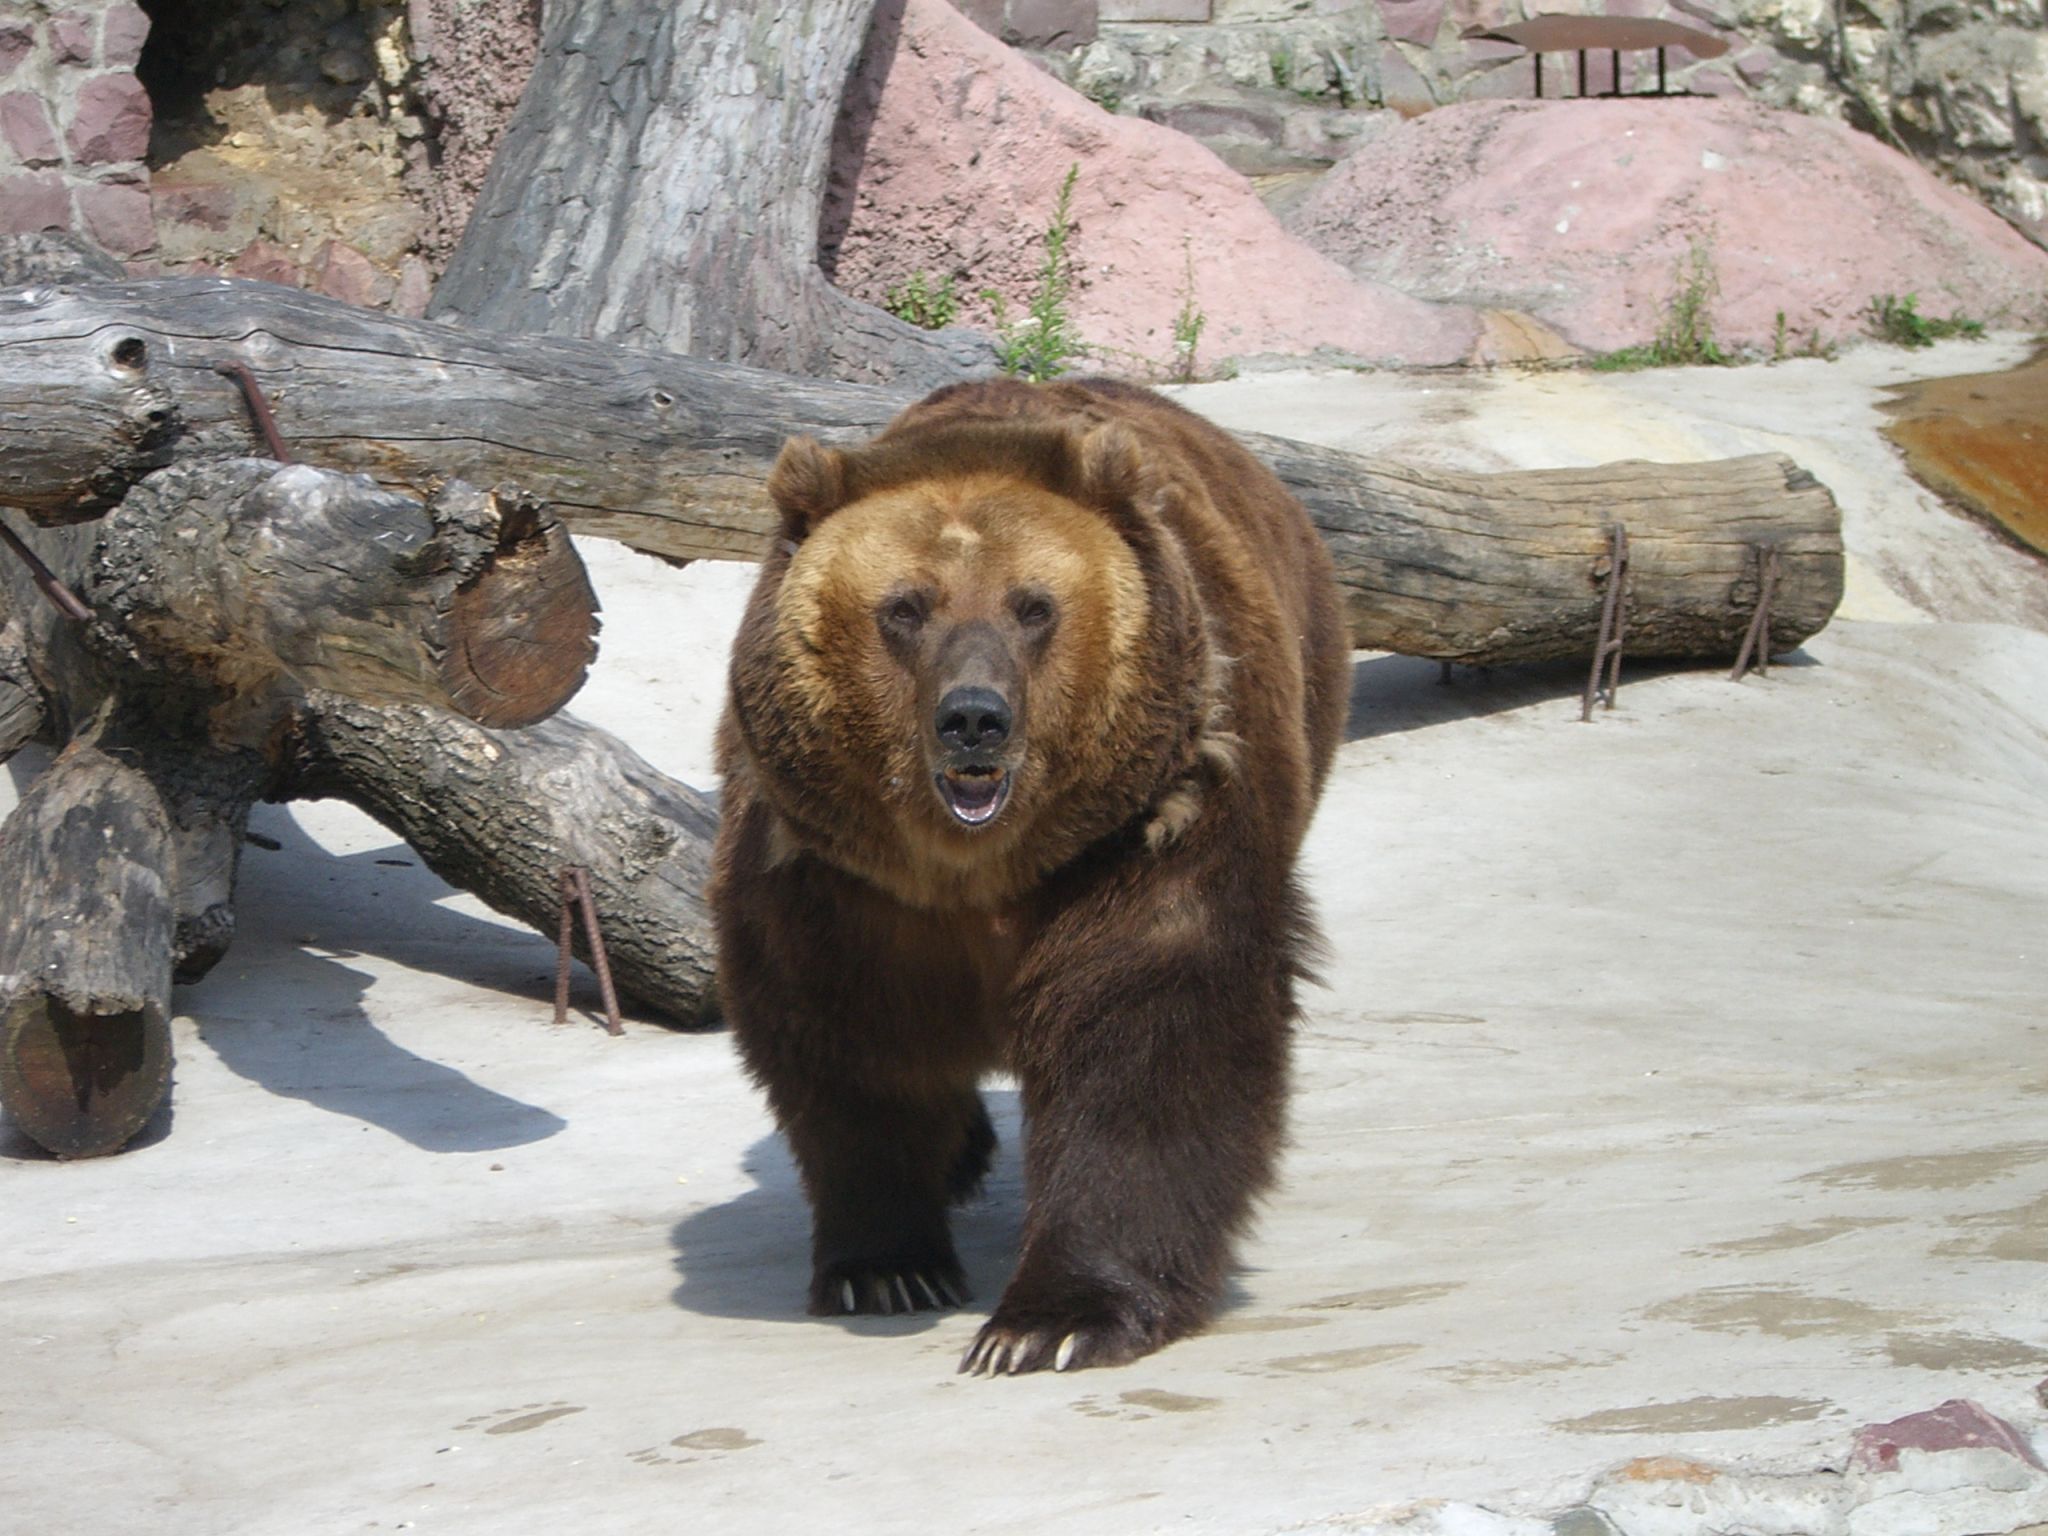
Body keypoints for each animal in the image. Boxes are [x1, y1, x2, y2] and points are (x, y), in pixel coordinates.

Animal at [712, 376, 1351, 1384]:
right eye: (906, 606)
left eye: (1033, 605)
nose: (974, 717)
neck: (971, 869)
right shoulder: (829, 871)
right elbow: (845, 1044)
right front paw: (888, 1264)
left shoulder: (1147, 827)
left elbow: (1148, 1032)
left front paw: (1051, 1321)